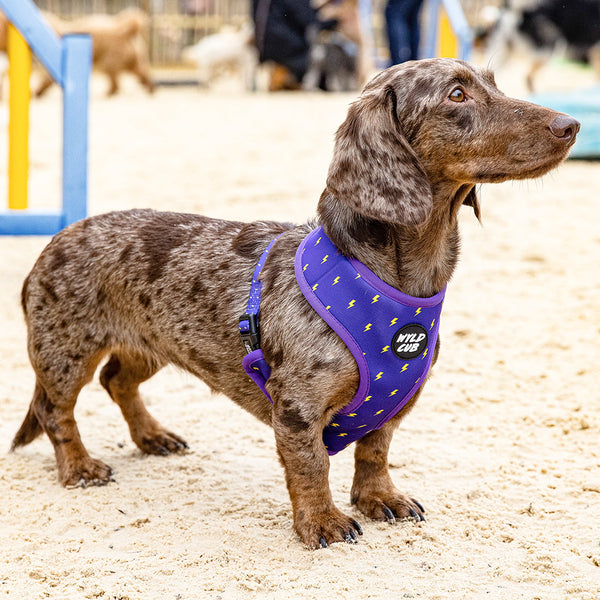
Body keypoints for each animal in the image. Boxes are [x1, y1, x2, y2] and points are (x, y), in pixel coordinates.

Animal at [11, 59, 580, 548]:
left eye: (493, 82)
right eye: (457, 95)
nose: (571, 124)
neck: (391, 284)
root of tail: (56, 240)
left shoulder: (396, 404)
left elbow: (376, 451)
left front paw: (380, 499)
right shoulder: (297, 408)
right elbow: (312, 466)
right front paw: (323, 522)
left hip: (150, 344)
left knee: (117, 381)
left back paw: (152, 435)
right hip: (65, 353)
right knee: (55, 410)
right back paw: (79, 467)